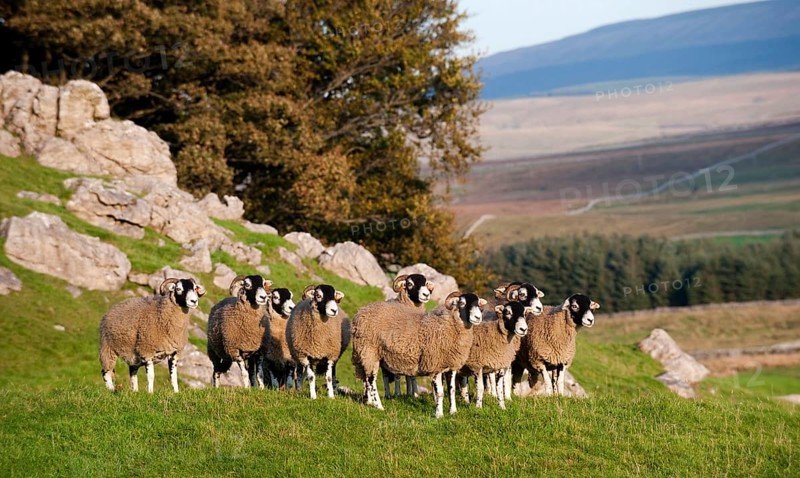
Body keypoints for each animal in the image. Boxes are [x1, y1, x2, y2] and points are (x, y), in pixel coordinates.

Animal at [352, 291, 486, 418]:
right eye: (462, 303)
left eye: (478, 304)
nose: (477, 317)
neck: (448, 326)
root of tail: (361, 311)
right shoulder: (435, 365)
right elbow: (440, 393)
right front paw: (439, 414)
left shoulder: (451, 365)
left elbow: (452, 390)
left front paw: (453, 411)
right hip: (369, 351)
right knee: (371, 380)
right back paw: (379, 406)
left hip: (369, 355)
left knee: (366, 378)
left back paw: (369, 402)